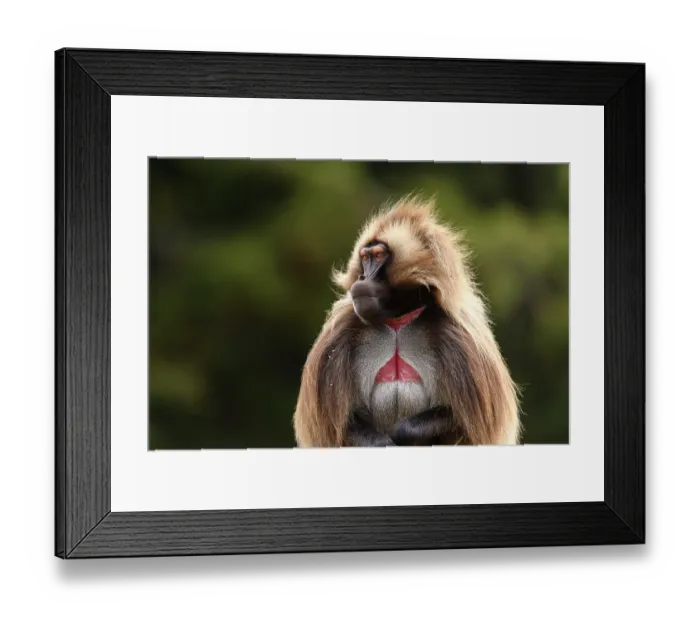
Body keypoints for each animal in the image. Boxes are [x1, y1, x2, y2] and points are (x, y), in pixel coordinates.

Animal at [292, 195, 521, 448]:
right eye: (365, 258)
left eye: (378, 256)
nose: (363, 278)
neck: (398, 319)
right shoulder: (337, 339)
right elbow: (338, 427)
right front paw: (381, 442)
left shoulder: (460, 340)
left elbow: (465, 423)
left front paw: (402, 432)